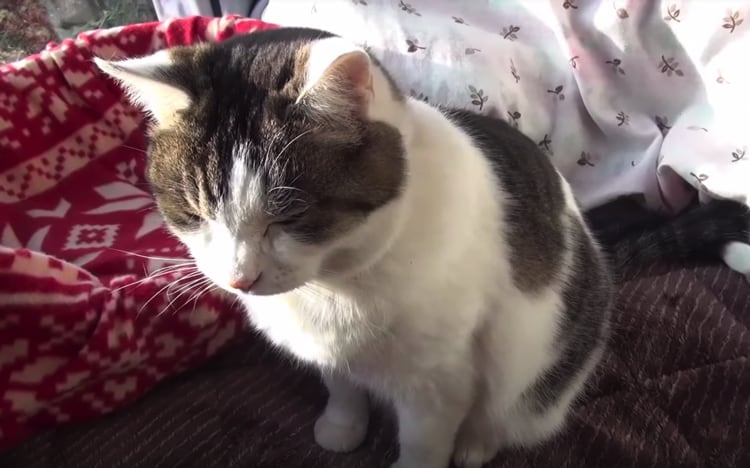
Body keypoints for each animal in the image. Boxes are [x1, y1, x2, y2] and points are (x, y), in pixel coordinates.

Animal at [96, 27, 750, 468]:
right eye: (195, 213)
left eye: (292, 215)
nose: (238, 279)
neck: (337, 282)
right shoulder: (334, 355)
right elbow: (342, 387)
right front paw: (341, 426)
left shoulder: (440, 380)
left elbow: (423, 442)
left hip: (540, 366)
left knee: (514, 407)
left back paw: (479, 444)